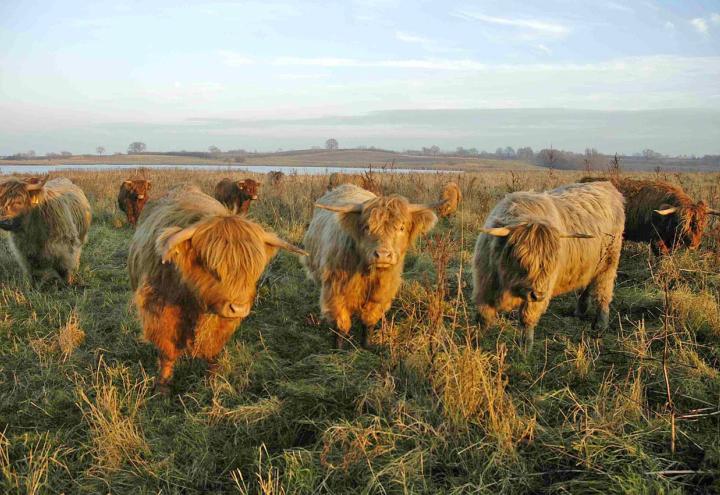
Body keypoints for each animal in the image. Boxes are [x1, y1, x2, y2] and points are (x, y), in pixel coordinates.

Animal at [302, 184, 438, 350]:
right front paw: (337, 350)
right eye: (367, 227)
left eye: (401, 228)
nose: (383, 254)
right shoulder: (335, 292)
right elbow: (341, 325)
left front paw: (366, 346)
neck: (368, 272)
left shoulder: (380, 294)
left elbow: (368, 321)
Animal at [472, 182, 624, 352]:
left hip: (608, 263)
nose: (538, 295)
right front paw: (476, 341)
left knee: (603, 292)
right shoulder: (485, 284)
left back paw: (600, 324)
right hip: (590, 266)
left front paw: (526, 348)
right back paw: (580, 311)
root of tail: (606, 185)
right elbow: (483, 317)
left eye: (552, 262)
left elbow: (527, 318)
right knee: (588, 285)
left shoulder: (541, 289)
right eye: (519, 258)